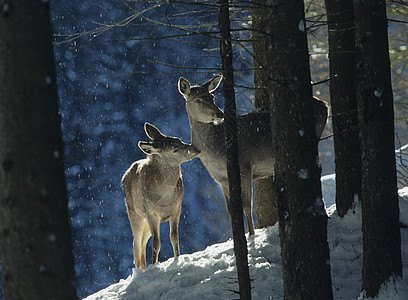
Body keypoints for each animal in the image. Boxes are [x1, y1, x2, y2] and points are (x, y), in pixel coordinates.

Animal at [120, 122, 200, 270]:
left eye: (179, 140)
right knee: (136, 243)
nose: (195, 149)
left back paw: (144, 267)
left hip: (145, 221)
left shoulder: (177, 208)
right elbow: (156, 242)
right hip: (135, 213)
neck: (165, 199)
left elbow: (174, 237)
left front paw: (177, 259)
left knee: (142, 243)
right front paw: (155, 265)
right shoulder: (151, 213)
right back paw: (138, 270)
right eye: (174, 149)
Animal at [178, 74, 328, 236]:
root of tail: (324, 105)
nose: (219, 113)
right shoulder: (220, 179)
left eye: (211, 97)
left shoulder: (244, 167)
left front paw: (251, 235)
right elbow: (230, 211)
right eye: (197, 100)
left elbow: (246, 206)